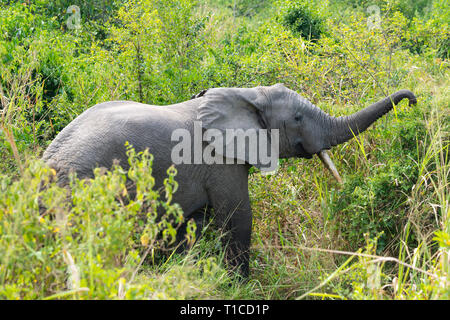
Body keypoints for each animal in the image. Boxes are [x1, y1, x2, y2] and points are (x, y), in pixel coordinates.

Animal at [43, 84, 418, 278]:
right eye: (297, 118)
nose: (413, 100)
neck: (249, 94)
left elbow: (191, 226)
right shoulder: (219, 161)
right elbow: (238, 217)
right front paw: (239, 285)